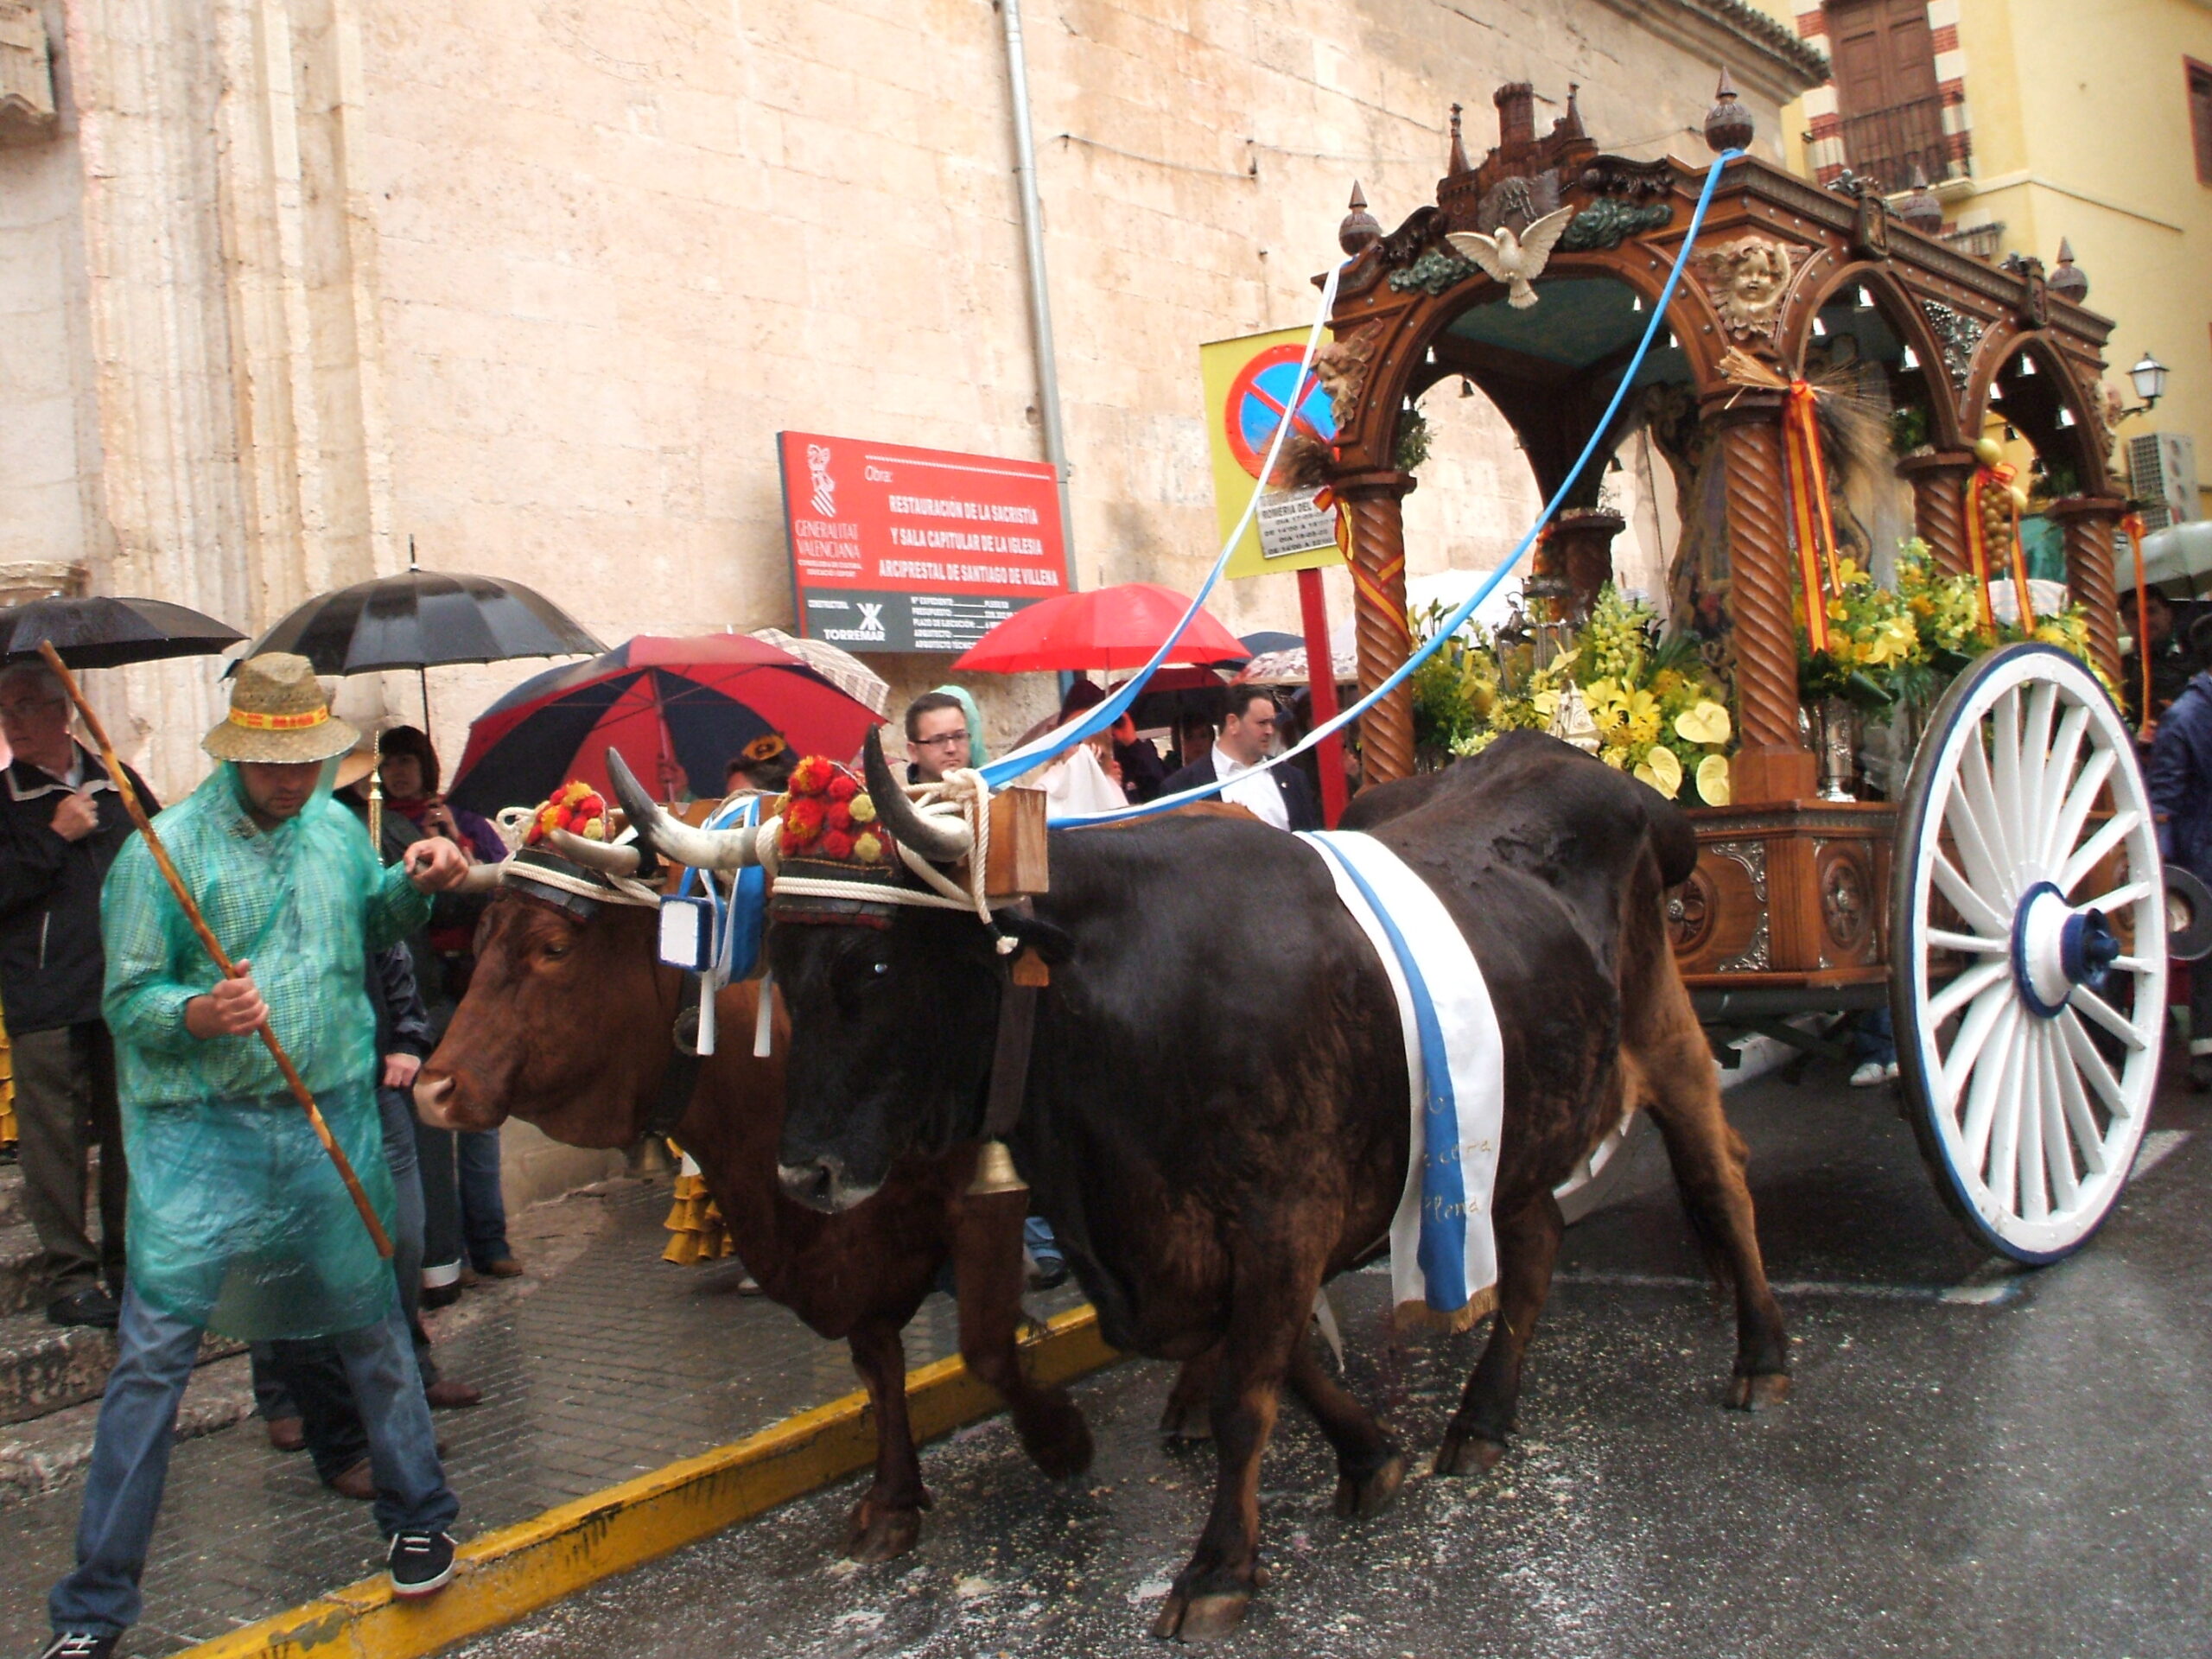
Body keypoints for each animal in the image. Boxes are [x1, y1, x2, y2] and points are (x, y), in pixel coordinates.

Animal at [410, 845, 1094, 1562]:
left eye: (555, 947)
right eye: (480, 940)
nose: (433, 1090)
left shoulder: (983, 1192)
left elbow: (986, 1345)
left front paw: (1059, 1437)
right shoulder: (847, 1238)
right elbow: (879, 1367)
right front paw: (893, 1501)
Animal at [610, 731, 1790, 1641]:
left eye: (877, 968)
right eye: (783, 972)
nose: (802, 1171)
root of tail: (1594, 772)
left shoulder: (1281, 1214)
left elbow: (1244, 1391)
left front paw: (1221, 1567)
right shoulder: (1172, 1245)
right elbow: (1259, 1360)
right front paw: (1371, 1455)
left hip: (1662, 1032)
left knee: (1721, 1179)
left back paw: (1762, 1356)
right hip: (1516, 1113)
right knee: (1536, 1243)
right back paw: (1482, 1418)